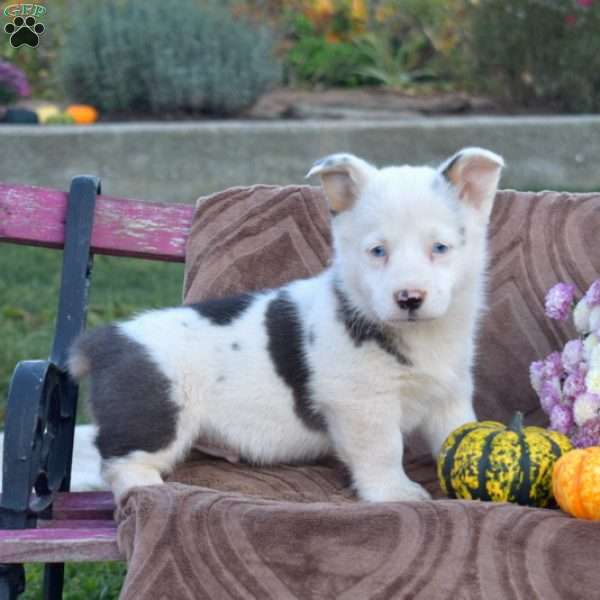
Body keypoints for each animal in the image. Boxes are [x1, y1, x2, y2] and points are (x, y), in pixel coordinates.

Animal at [68, 146, 504, 502]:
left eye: (440, 248)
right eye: (378, 251)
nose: (409, 298)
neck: (421, 334)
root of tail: (105, 340)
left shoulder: (450, 395)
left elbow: (459, 433)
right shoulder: (363, 405)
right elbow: (384, 451)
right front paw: (396, 493)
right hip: (158, 415)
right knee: (121, 464)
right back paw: (148, 488)